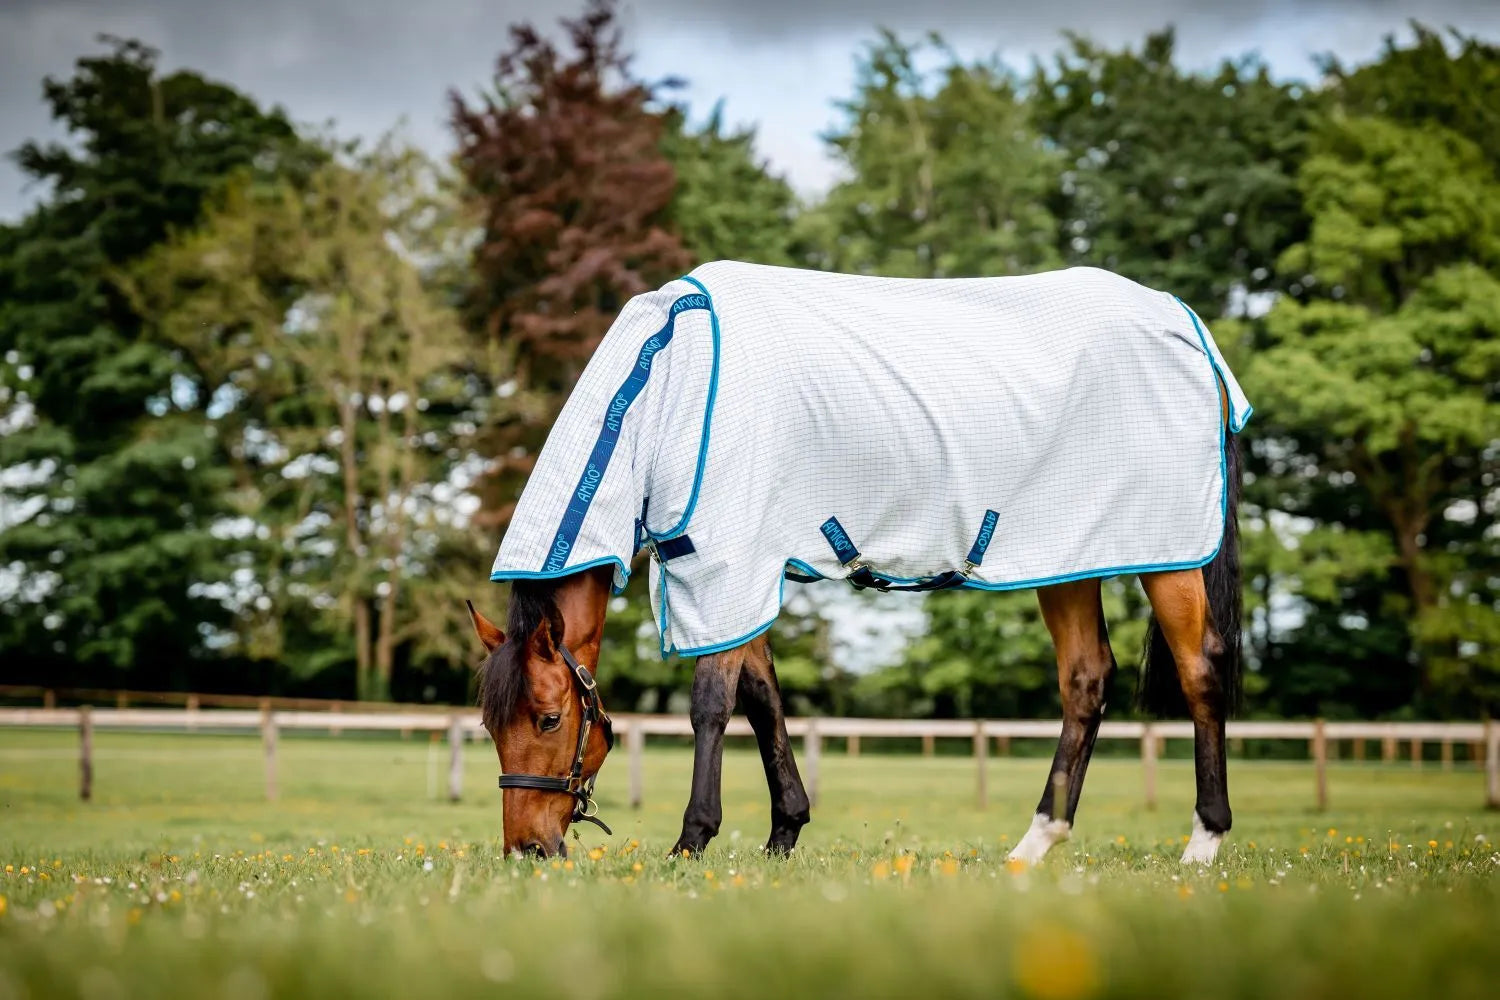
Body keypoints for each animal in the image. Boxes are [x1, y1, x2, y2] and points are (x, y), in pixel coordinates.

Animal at [466, 261, 1249, 863]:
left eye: (547, 719)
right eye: (488, 726)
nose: (526, 850)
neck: (665, 381)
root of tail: (1184, 322)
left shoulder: (728, 564)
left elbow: (713, 705)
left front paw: (691, 843)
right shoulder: (745, 573)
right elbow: (764, 700)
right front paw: (783, 835)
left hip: (1167, 557)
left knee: (1200, 671)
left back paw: (1203, 843)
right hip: (1065, 557)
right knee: (1086, 680)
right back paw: (1034, 845)